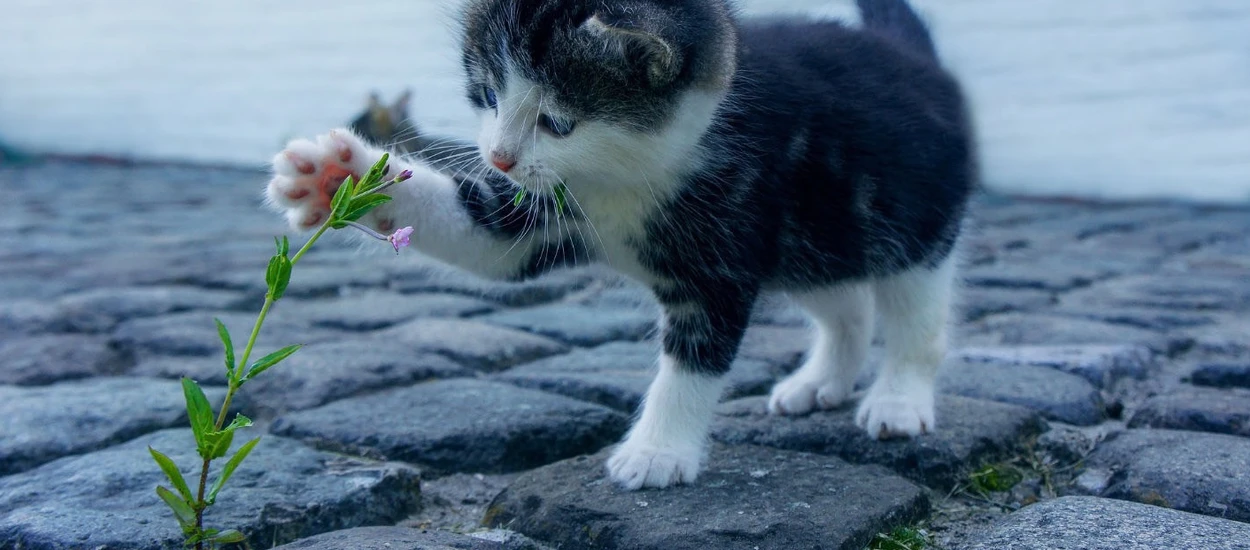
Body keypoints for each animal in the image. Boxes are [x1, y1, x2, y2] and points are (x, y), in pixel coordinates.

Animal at [266, 0, 975, 490]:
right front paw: (336, 177)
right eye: (488, 95)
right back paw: (821, 381)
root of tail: (914, 59)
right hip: (814, 239)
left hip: (912, 221)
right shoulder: (542, 209)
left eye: (557, 122)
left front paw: (658, 453)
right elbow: (485, 239)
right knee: (845, 304)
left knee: (915, 315)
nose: (498, 158)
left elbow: (693, 361)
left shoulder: (722, 255)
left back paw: (898, 399)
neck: (624, 176)